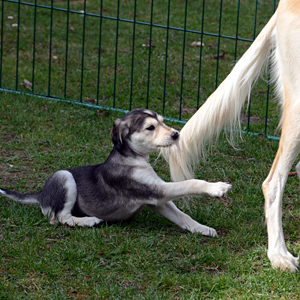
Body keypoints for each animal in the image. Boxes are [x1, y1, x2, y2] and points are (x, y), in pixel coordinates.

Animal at [0, 109, 232, 236]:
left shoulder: (156, 200)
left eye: (162, 121)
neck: (133, 158)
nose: (176, 134)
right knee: (60, 218)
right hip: (63, 177)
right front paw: (216, 188)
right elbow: (191, 183)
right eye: (150, 127)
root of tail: (40, 195)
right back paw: (88, 221)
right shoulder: (156, 190)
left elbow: (183, 216)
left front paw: (201, 228)